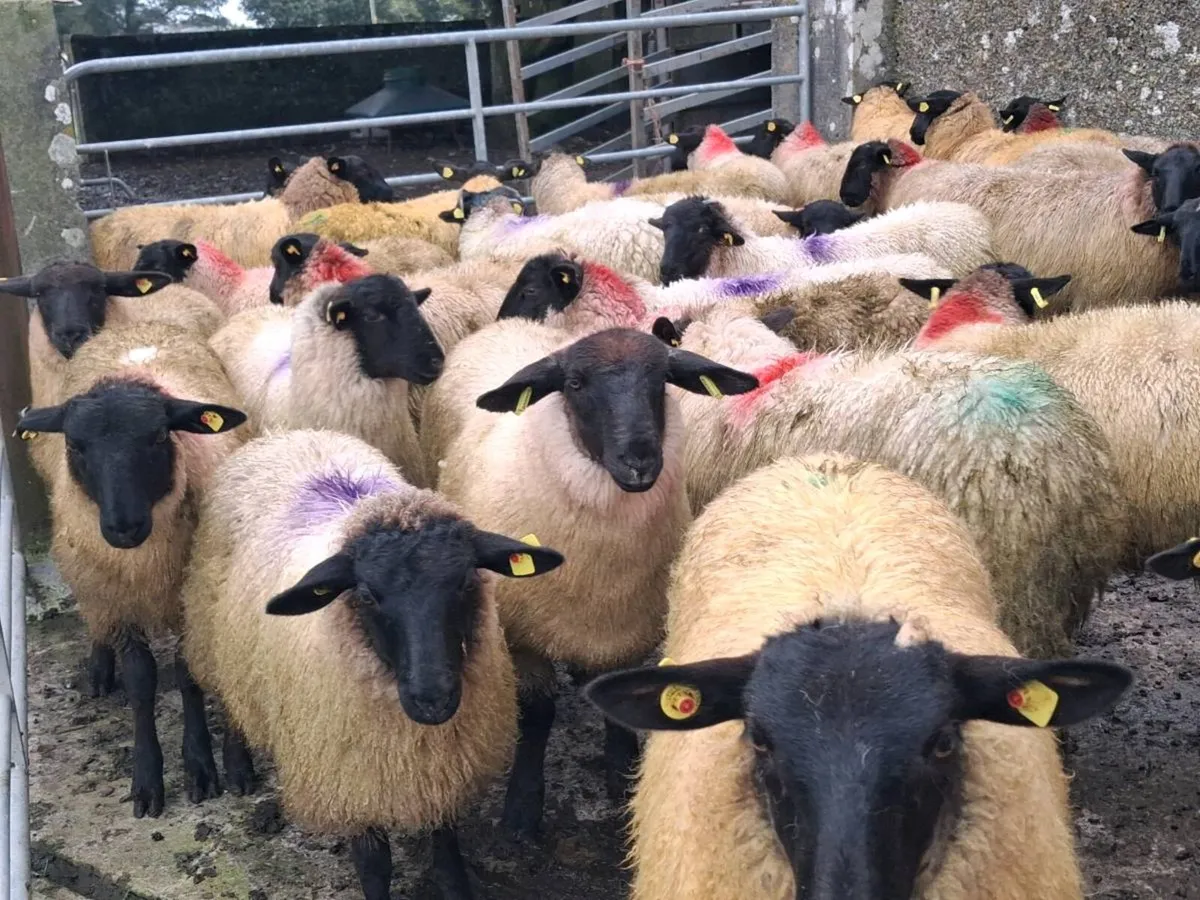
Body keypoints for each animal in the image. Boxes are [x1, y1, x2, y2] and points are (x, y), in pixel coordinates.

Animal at [15, 321, 249, 818]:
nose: (124, 527)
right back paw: (99, 669)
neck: (146, 561)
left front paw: (202, 765)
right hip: (92, 582)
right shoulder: (117, 598)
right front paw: (147, 779)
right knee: (96, 622)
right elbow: (142, 681)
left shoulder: (187, 598)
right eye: (75, 444)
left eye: (159, 437)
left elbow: (188, 673)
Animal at [177, 428, 565, 900]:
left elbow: (446, 850)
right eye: (366, 595)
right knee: (228, 692)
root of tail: (288, 435)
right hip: (211, 631)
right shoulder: (351, 777)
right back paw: (237, 766)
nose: (432, 698)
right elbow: (374, 866)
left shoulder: (441, 768)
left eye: (465, 581)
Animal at [426, 324, 757, 834]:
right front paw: (522, 806)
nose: (640, 460)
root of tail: (509, 324)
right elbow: (538, 713)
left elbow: (618, 711)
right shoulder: (521, 637)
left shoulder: (627, 629)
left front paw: (622, 780)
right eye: (576, 384)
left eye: (662, 379)